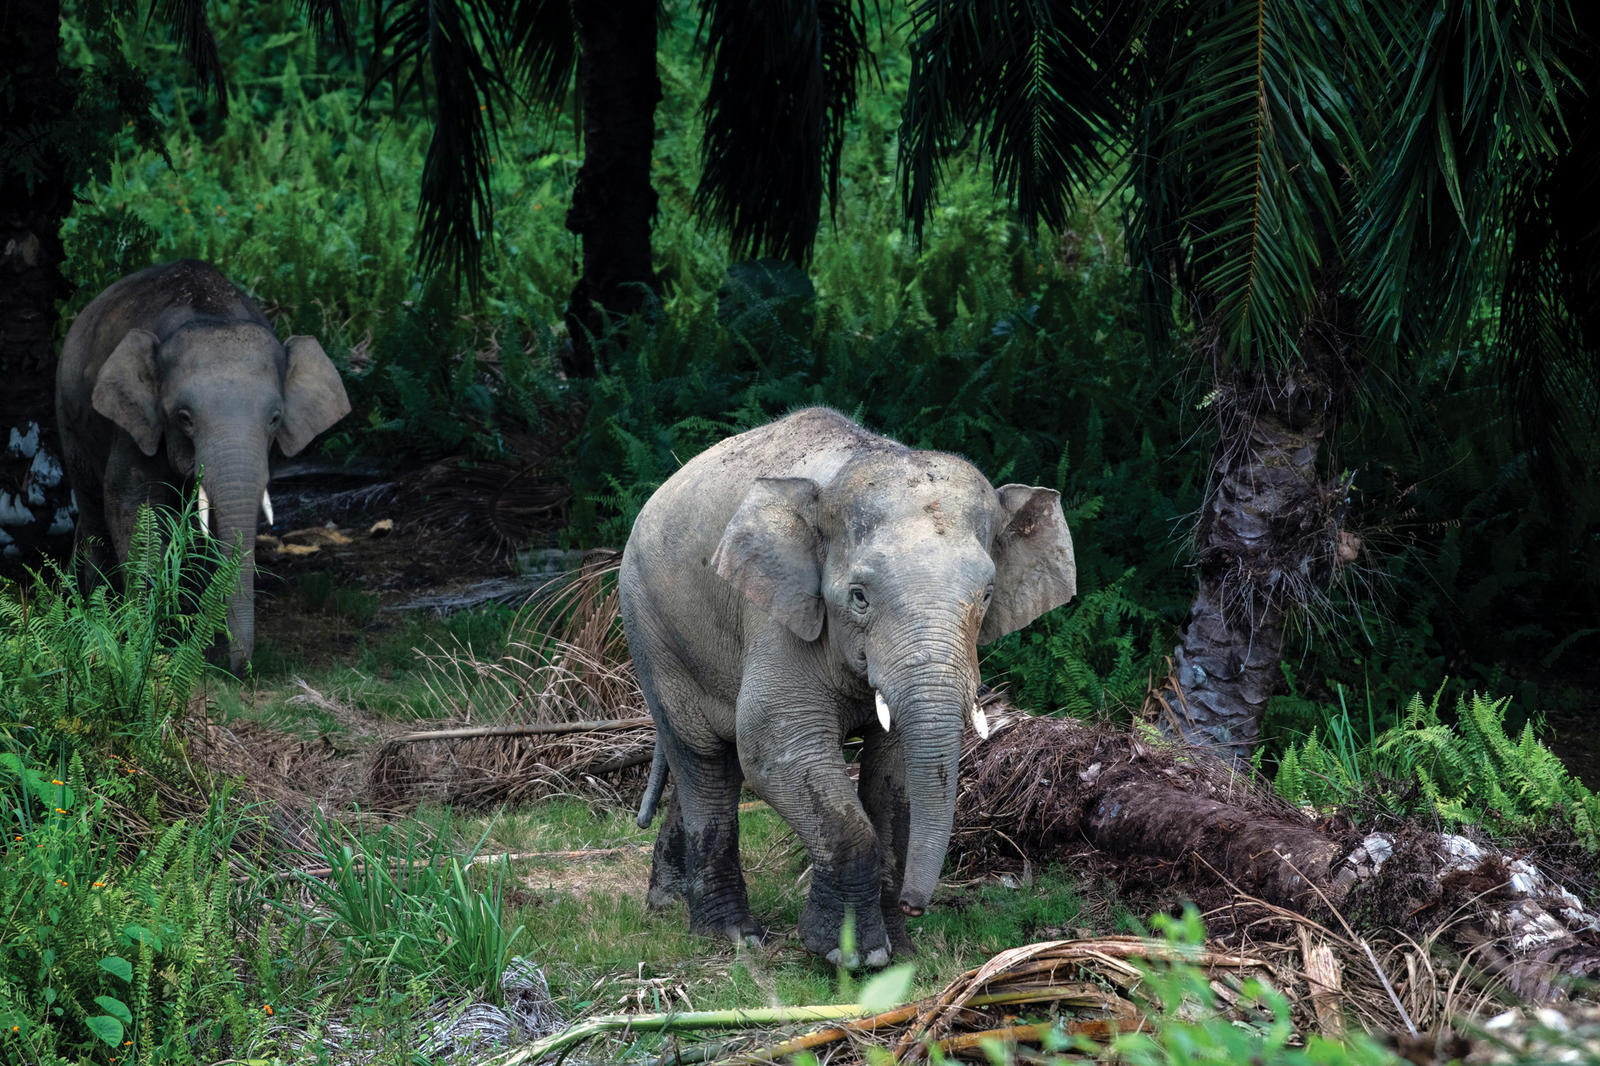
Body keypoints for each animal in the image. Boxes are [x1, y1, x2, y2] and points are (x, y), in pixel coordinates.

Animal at [57, 257, 350, 669]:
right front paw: (149, 642)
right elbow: (132, 504)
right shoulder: (136, 427)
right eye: (184, 417)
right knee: (94, 508)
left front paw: (199, 644)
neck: (211, 315)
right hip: (69, 419)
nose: (240, 669)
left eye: (275, 418)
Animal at [624, 404, 1075, 960]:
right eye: (859, 596)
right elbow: (775, 748)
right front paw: (850, 954)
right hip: (651, 627)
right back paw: (731, 935)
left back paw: (667, 902)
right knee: (705, 759)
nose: (913, 906)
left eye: (987, 594)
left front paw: (896, 951)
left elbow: (895, 773)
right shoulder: (780, 617)